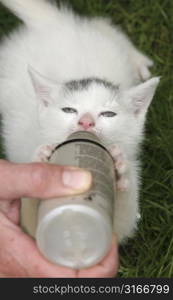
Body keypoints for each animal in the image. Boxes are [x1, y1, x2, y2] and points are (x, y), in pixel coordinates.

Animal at [0, 0, 159, 243]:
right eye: (68, 110)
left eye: (108, 114)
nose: (86, 123)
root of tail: (55, 26)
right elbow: (30, 224)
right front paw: (41, 158)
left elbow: (123, 223)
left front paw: (120, 172)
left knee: (104, 24)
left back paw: (138, 60)